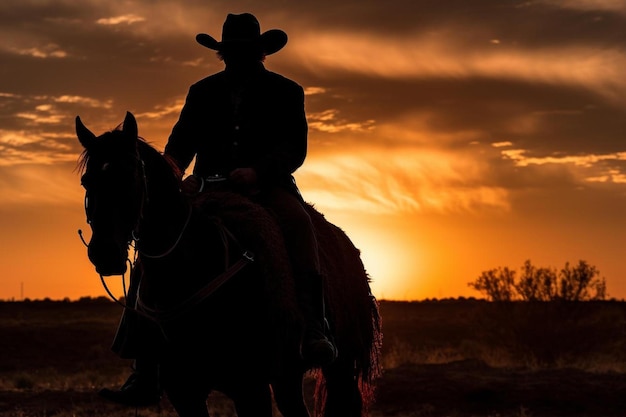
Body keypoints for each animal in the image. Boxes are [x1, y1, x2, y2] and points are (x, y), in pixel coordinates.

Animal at [76, 110, 382, 416]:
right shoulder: (184, 391)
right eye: (87, 181)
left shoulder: (250, 389)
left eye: (129, 175)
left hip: (342, 367)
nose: (104, 253)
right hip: (287, 376)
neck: (188, 273)